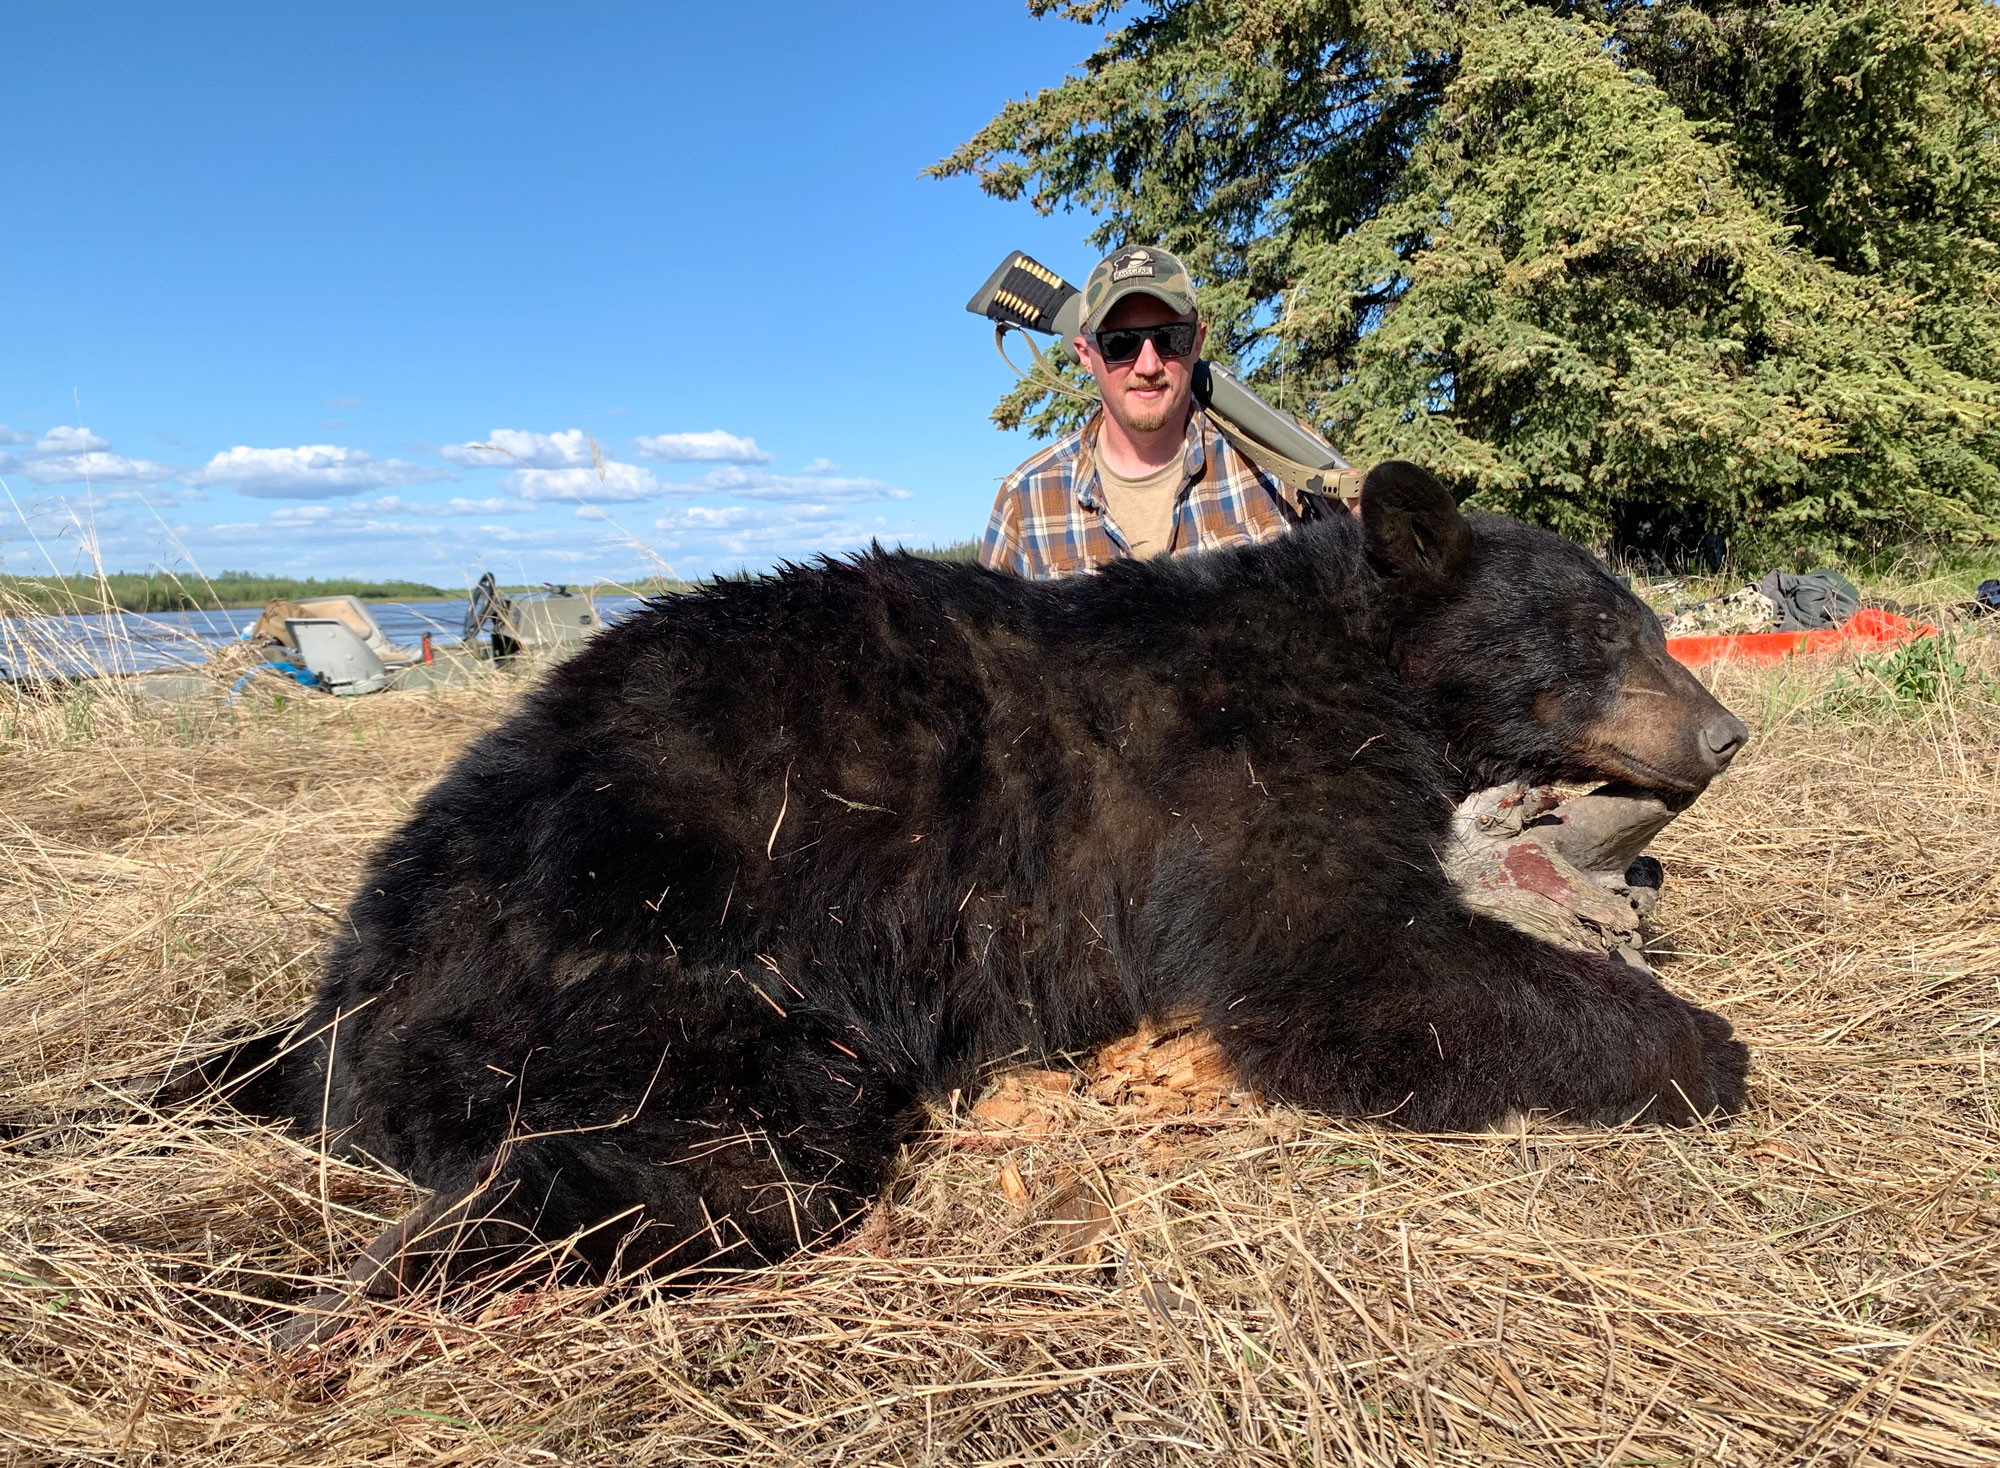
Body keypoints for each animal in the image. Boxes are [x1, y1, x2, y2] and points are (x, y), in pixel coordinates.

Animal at [189, 461, 1750, 1339]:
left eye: (1651, 622)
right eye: (1599, 632)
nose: (1726, 731)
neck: (1352, 655)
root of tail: (348, 994)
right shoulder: (1234, 776)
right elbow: (1340, 964)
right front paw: (1705, 1046)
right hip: (654, 943)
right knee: (717, 1155)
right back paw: (366, 1287)